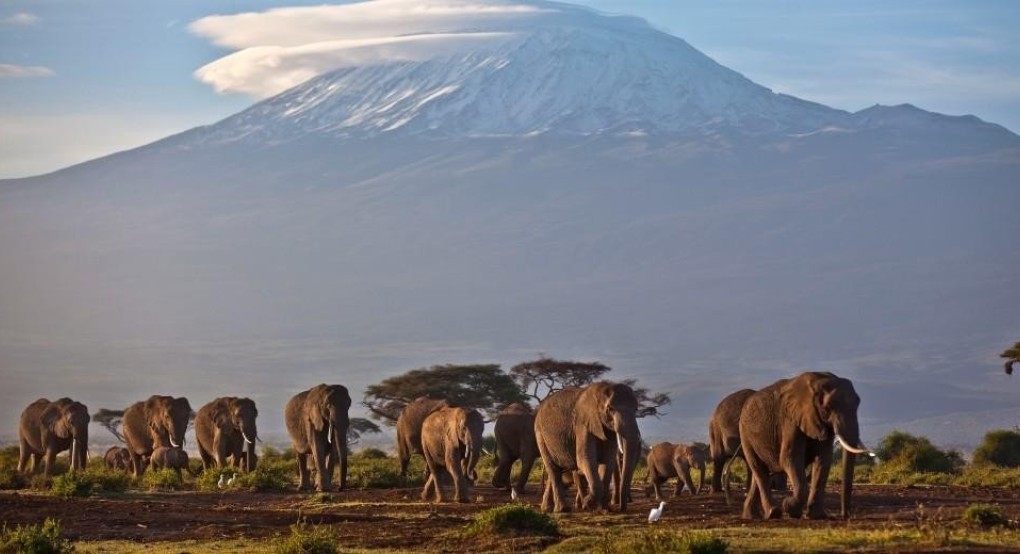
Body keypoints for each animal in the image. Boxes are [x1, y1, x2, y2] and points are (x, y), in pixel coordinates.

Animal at [530, 381, 640, 516]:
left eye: (636, 409)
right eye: (610, 409)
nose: (620, 508)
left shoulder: (607, 429)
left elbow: (608, 462)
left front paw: (604, 510)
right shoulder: (582, 424)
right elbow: (585, 459)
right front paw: (587, 504)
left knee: (556, 470)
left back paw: (547, 509)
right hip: (540, 434)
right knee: (553, 469)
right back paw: (563, 510)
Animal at [738, 373, 873, 520]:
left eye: (857, 404)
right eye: (828, 407)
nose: (845, 516)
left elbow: (823, 460)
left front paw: (816, 516)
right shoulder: (790, 420)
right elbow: (789, 458)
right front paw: (789, 507)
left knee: (761, 472)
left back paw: (751, 516)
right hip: (745, 434)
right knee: (759, 469)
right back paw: (773, 513)